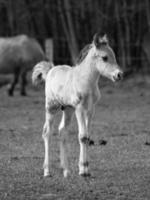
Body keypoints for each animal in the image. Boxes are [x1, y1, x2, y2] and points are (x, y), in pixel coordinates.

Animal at [31, 33, 123, 178]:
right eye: (104, 57)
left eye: (113, 56)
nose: (119, 75)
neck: (86, 81)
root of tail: (51, 69)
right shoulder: (79, 108)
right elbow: (82, 136)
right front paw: (84, 170)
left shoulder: (90, 109)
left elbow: (87, 136)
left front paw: (84, 168)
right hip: (51, 107)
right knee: (47, 133)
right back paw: (47, 171)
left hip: (68, 109)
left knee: (62, 131)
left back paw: (66, 171)